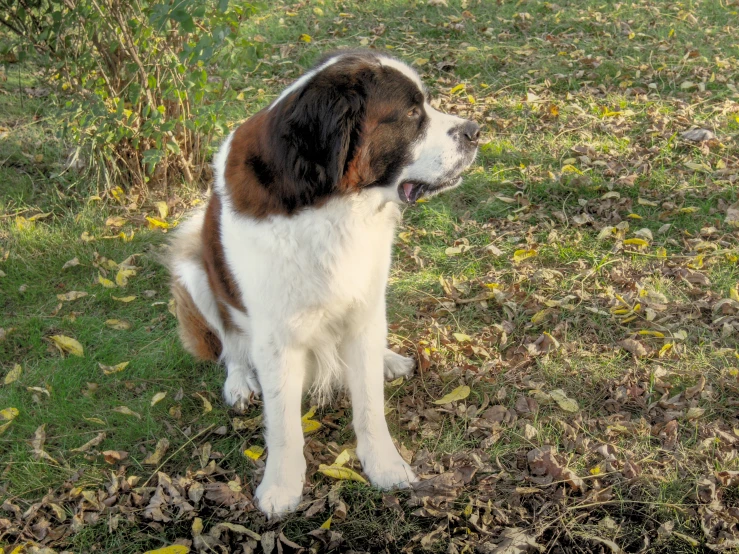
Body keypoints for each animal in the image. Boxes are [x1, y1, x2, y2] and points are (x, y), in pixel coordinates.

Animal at [167, 49, 480, 516]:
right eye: (411, 113)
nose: (476, 131)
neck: (331, 205)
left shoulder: (365, 305)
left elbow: (369, 404)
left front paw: (384, 465)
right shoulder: (276, 340)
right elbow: (283, 424)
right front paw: (281, 486)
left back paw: (388, 359)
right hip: (195, 273)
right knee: (231, 346)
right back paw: (239, 382)